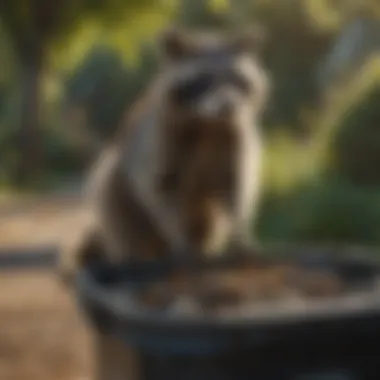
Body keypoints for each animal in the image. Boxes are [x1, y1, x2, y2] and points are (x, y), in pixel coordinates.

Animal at [58, 26, 268, 282]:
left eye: (237, 80)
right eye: (203, 79)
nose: (228, 106)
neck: (207, 124)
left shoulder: (237, 136)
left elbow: (238, 186)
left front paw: (240, 235)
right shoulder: (157, 142)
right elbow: (159, 187)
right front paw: (182, 240)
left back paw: (203, 244)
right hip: (116, 186)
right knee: (111, 190)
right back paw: (135, 254)